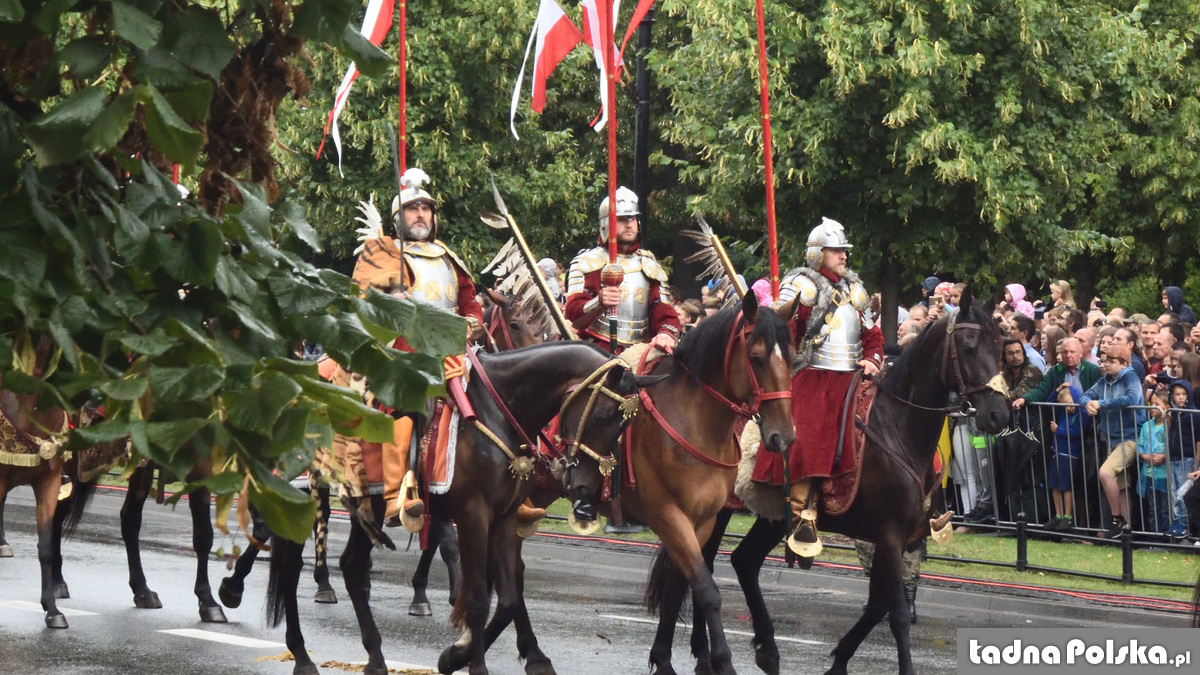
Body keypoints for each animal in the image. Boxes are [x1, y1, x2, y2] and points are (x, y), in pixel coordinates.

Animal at [268, 341, 652, 672]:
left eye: (624, 424)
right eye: (602, 415)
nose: (585, 490)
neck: (497, 410)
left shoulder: (504, 518)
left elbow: (508, 598)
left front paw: (455, 656)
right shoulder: (473, 515)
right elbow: (480, 599)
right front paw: (475, 663)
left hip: (367, 507)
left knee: (349, 565)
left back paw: (374, 657)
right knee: (290, 567)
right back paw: (303, 655)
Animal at [676, 296, 1003, 672]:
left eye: (999, 345)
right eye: (969, 346)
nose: (999, 414)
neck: (898, 428)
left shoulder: (900, 539)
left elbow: (878, 606)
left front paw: (839, 660)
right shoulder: (890, 536)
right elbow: (897, 615)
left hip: (770, 517)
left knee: (742, 561)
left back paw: (763, 649)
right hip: (718, 512)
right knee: (707, 563)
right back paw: (707, 652)